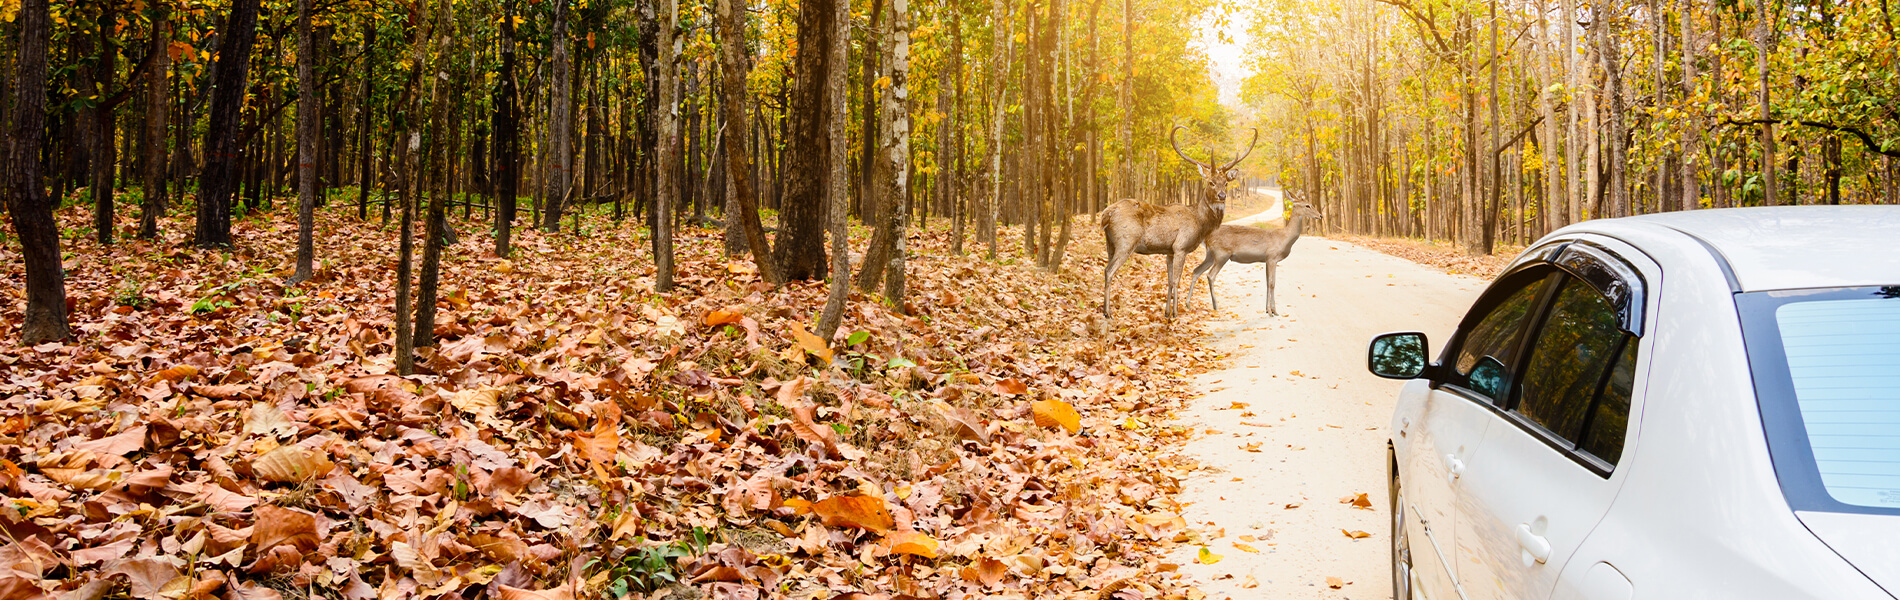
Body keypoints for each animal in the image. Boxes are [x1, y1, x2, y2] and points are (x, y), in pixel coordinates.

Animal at [1102, 126, 1261, 320]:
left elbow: (1169, 280)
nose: (1222, 195)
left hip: (1110, 243)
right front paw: (1176, 313)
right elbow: (1177, 279)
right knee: (1109, 270)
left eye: (1225, 183)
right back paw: (1108, 312)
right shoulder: (1180, 246)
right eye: (1211, 182)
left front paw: (1166, 312)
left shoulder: (1169, 251)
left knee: (1106, 268)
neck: (1199, 222)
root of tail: (1106, 214)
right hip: (1126, 241)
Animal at [1185, 200, 1322, 317]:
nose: (1320, 215)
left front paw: (1269, 310)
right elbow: (1271, 283)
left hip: (1210, 255)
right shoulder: (1272, 257)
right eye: (1307, 205)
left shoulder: (1268, 260)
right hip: (1221, 254)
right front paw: (1272, 312)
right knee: (1210, 275)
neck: (1284, 238)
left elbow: (1268, 282)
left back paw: (1187, 304)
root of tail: (1206, 237)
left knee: (1196, 270)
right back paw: (1216, 306)